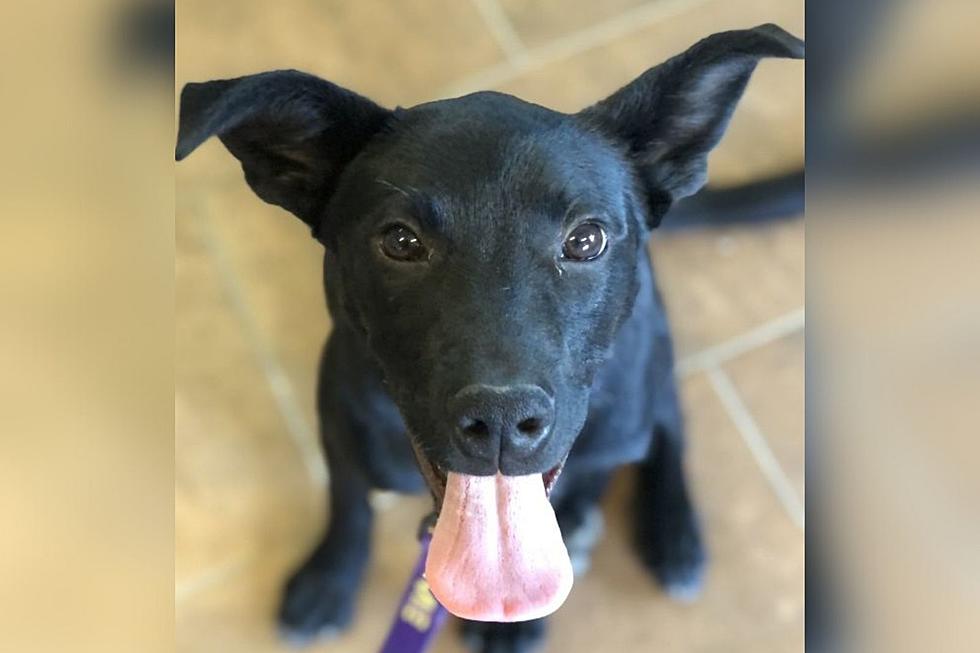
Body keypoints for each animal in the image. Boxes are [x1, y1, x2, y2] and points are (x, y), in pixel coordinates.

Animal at [176, 22, 804, 648]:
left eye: (586, 240)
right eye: (400, 241)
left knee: (666, 420)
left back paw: (670, 530)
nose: (501, 420)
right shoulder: (340, 420)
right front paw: (329, 578)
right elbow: (348, 501)